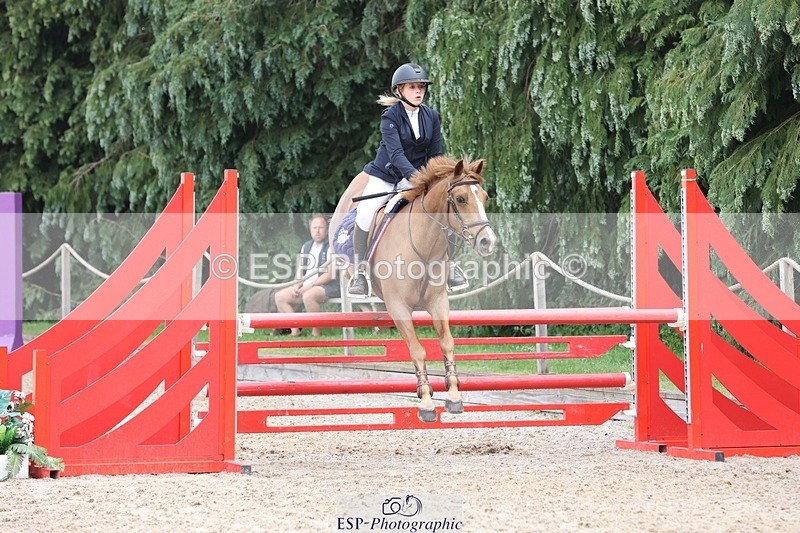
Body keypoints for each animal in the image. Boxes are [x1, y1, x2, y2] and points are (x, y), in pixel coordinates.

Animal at [330, 156, 497, 421]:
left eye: (484, 197)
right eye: (461, 199)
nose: (487, 242)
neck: (423, 245)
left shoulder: (438, 302)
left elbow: (447, 342)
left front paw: (453, 397)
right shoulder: (399, 308)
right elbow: (418, 350)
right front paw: (427, 402)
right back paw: (357, 280)